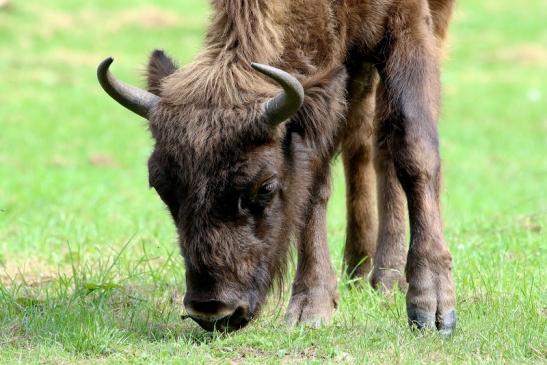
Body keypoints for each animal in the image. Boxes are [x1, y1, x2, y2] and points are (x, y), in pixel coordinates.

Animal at [97, 0, 458, 332]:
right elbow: (314, 181)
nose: (212, 310)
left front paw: (432, 308)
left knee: (381, 141)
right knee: (359, 137)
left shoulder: (407, 23)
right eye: (161, 187)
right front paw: (312, 306)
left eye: (265, 187)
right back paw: (357, 267)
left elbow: (413, 149)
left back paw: (388, 277)